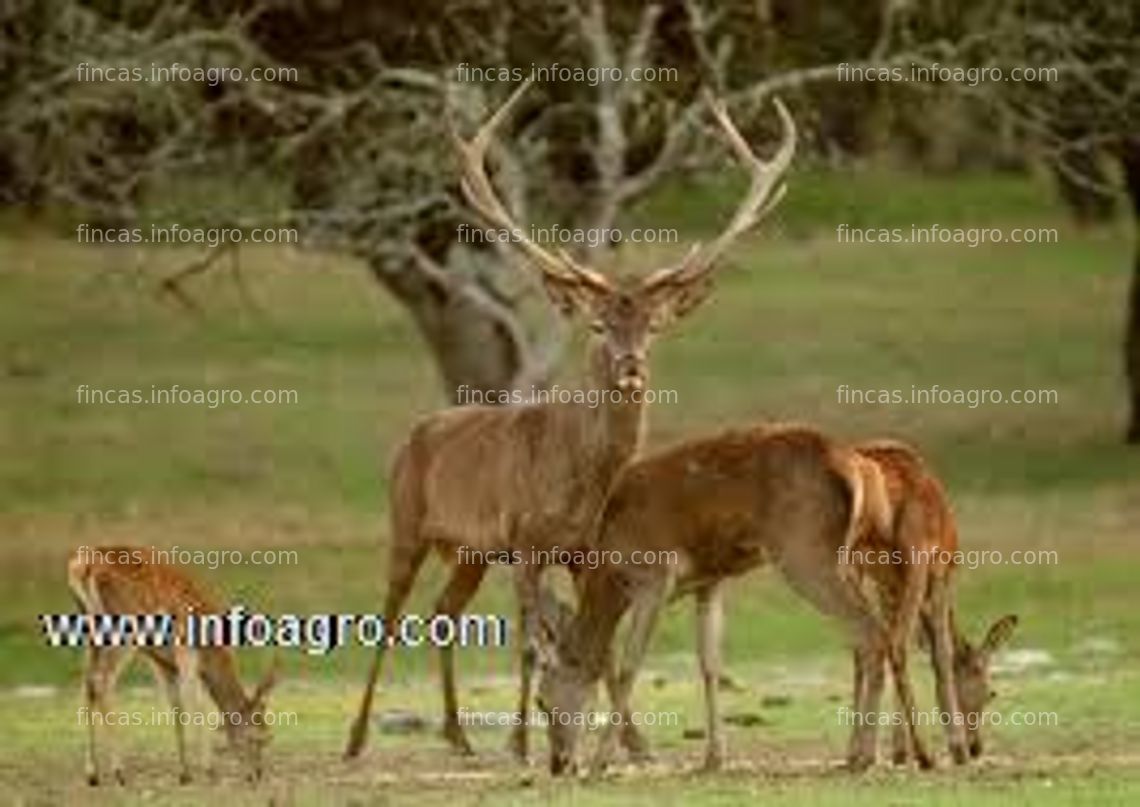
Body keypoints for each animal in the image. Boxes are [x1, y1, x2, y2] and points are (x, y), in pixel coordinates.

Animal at [68, 544, 278, 784]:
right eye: (259, 738)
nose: (257, 774)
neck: (210, 653)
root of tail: (82, 565)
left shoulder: (162, 661)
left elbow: (176, 706)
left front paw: (184, 772)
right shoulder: (185, 651)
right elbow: (198, 704)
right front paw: (209, 770)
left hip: (87, 631)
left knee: (86, 684)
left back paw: (92, 773)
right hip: (122, 632)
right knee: (102, 681)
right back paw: (119, 772)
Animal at [342, 83, 798, 761]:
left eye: (653, 325)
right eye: (599, 325)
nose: (632, 367)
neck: (579, 482)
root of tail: (417, 433)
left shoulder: (583, 550)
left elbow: (597, 649)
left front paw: (635, 744)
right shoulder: (525, 538)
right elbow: (532, 644)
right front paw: (522, 743)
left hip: (471, 552)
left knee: (442, 613)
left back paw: (458, 734)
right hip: (407, 520)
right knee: (392, 613)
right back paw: (357, 738)